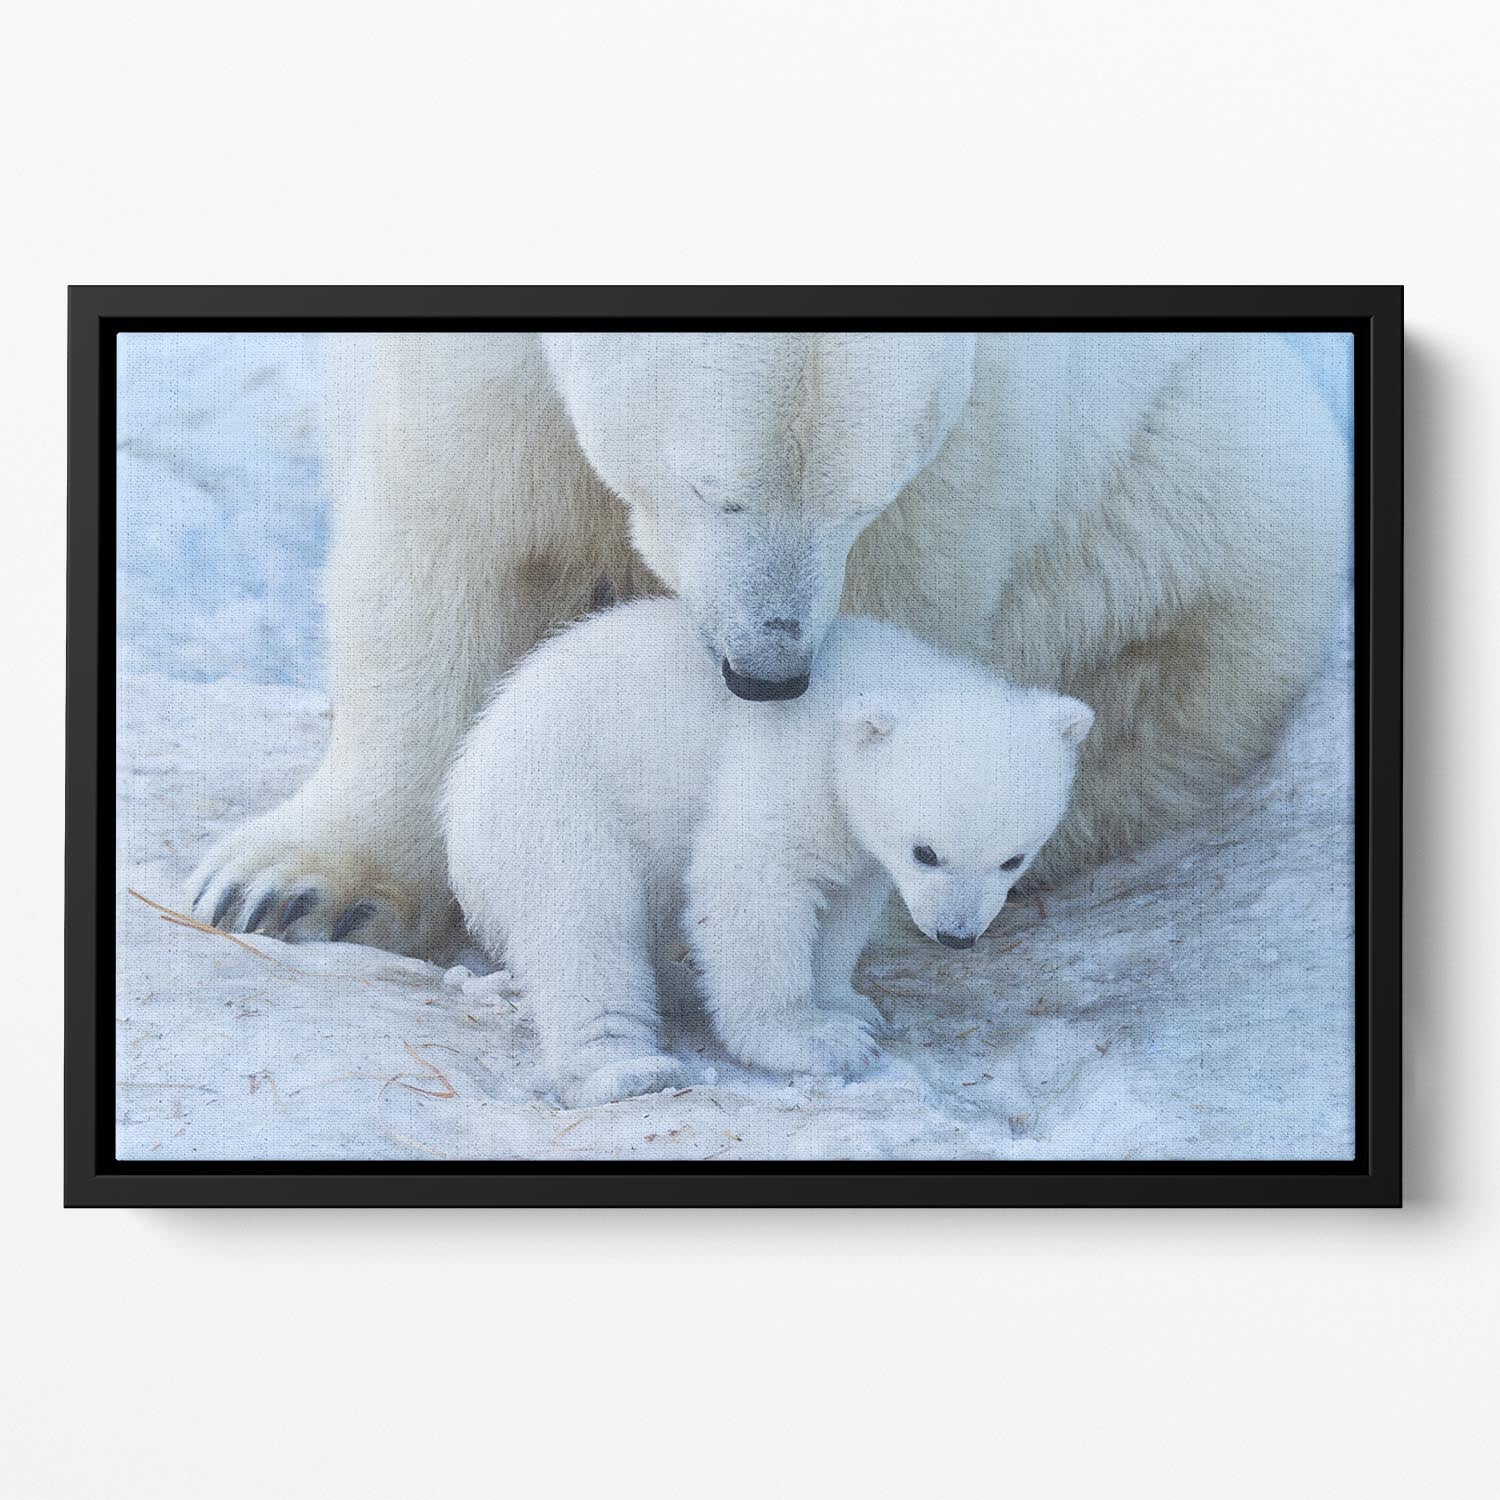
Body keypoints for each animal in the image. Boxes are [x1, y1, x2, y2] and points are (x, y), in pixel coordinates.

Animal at [187, 332, 1348, 958]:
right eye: (716, 489)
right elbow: (446, 537)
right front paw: (292, 889)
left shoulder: (977, 443)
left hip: (1203, 492)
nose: (767, 669)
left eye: (859, 500)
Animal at [443, 599, 1092, 1106]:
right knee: (585, 926)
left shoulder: (854, 834)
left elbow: (844, 904)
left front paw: (848, 1008)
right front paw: (813, 1040)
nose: (956, 935)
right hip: (558, 803)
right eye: (926, 852)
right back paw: (625, 1070)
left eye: (1013, 859)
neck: (869, 683)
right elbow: (751, 885)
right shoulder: (787, 762)